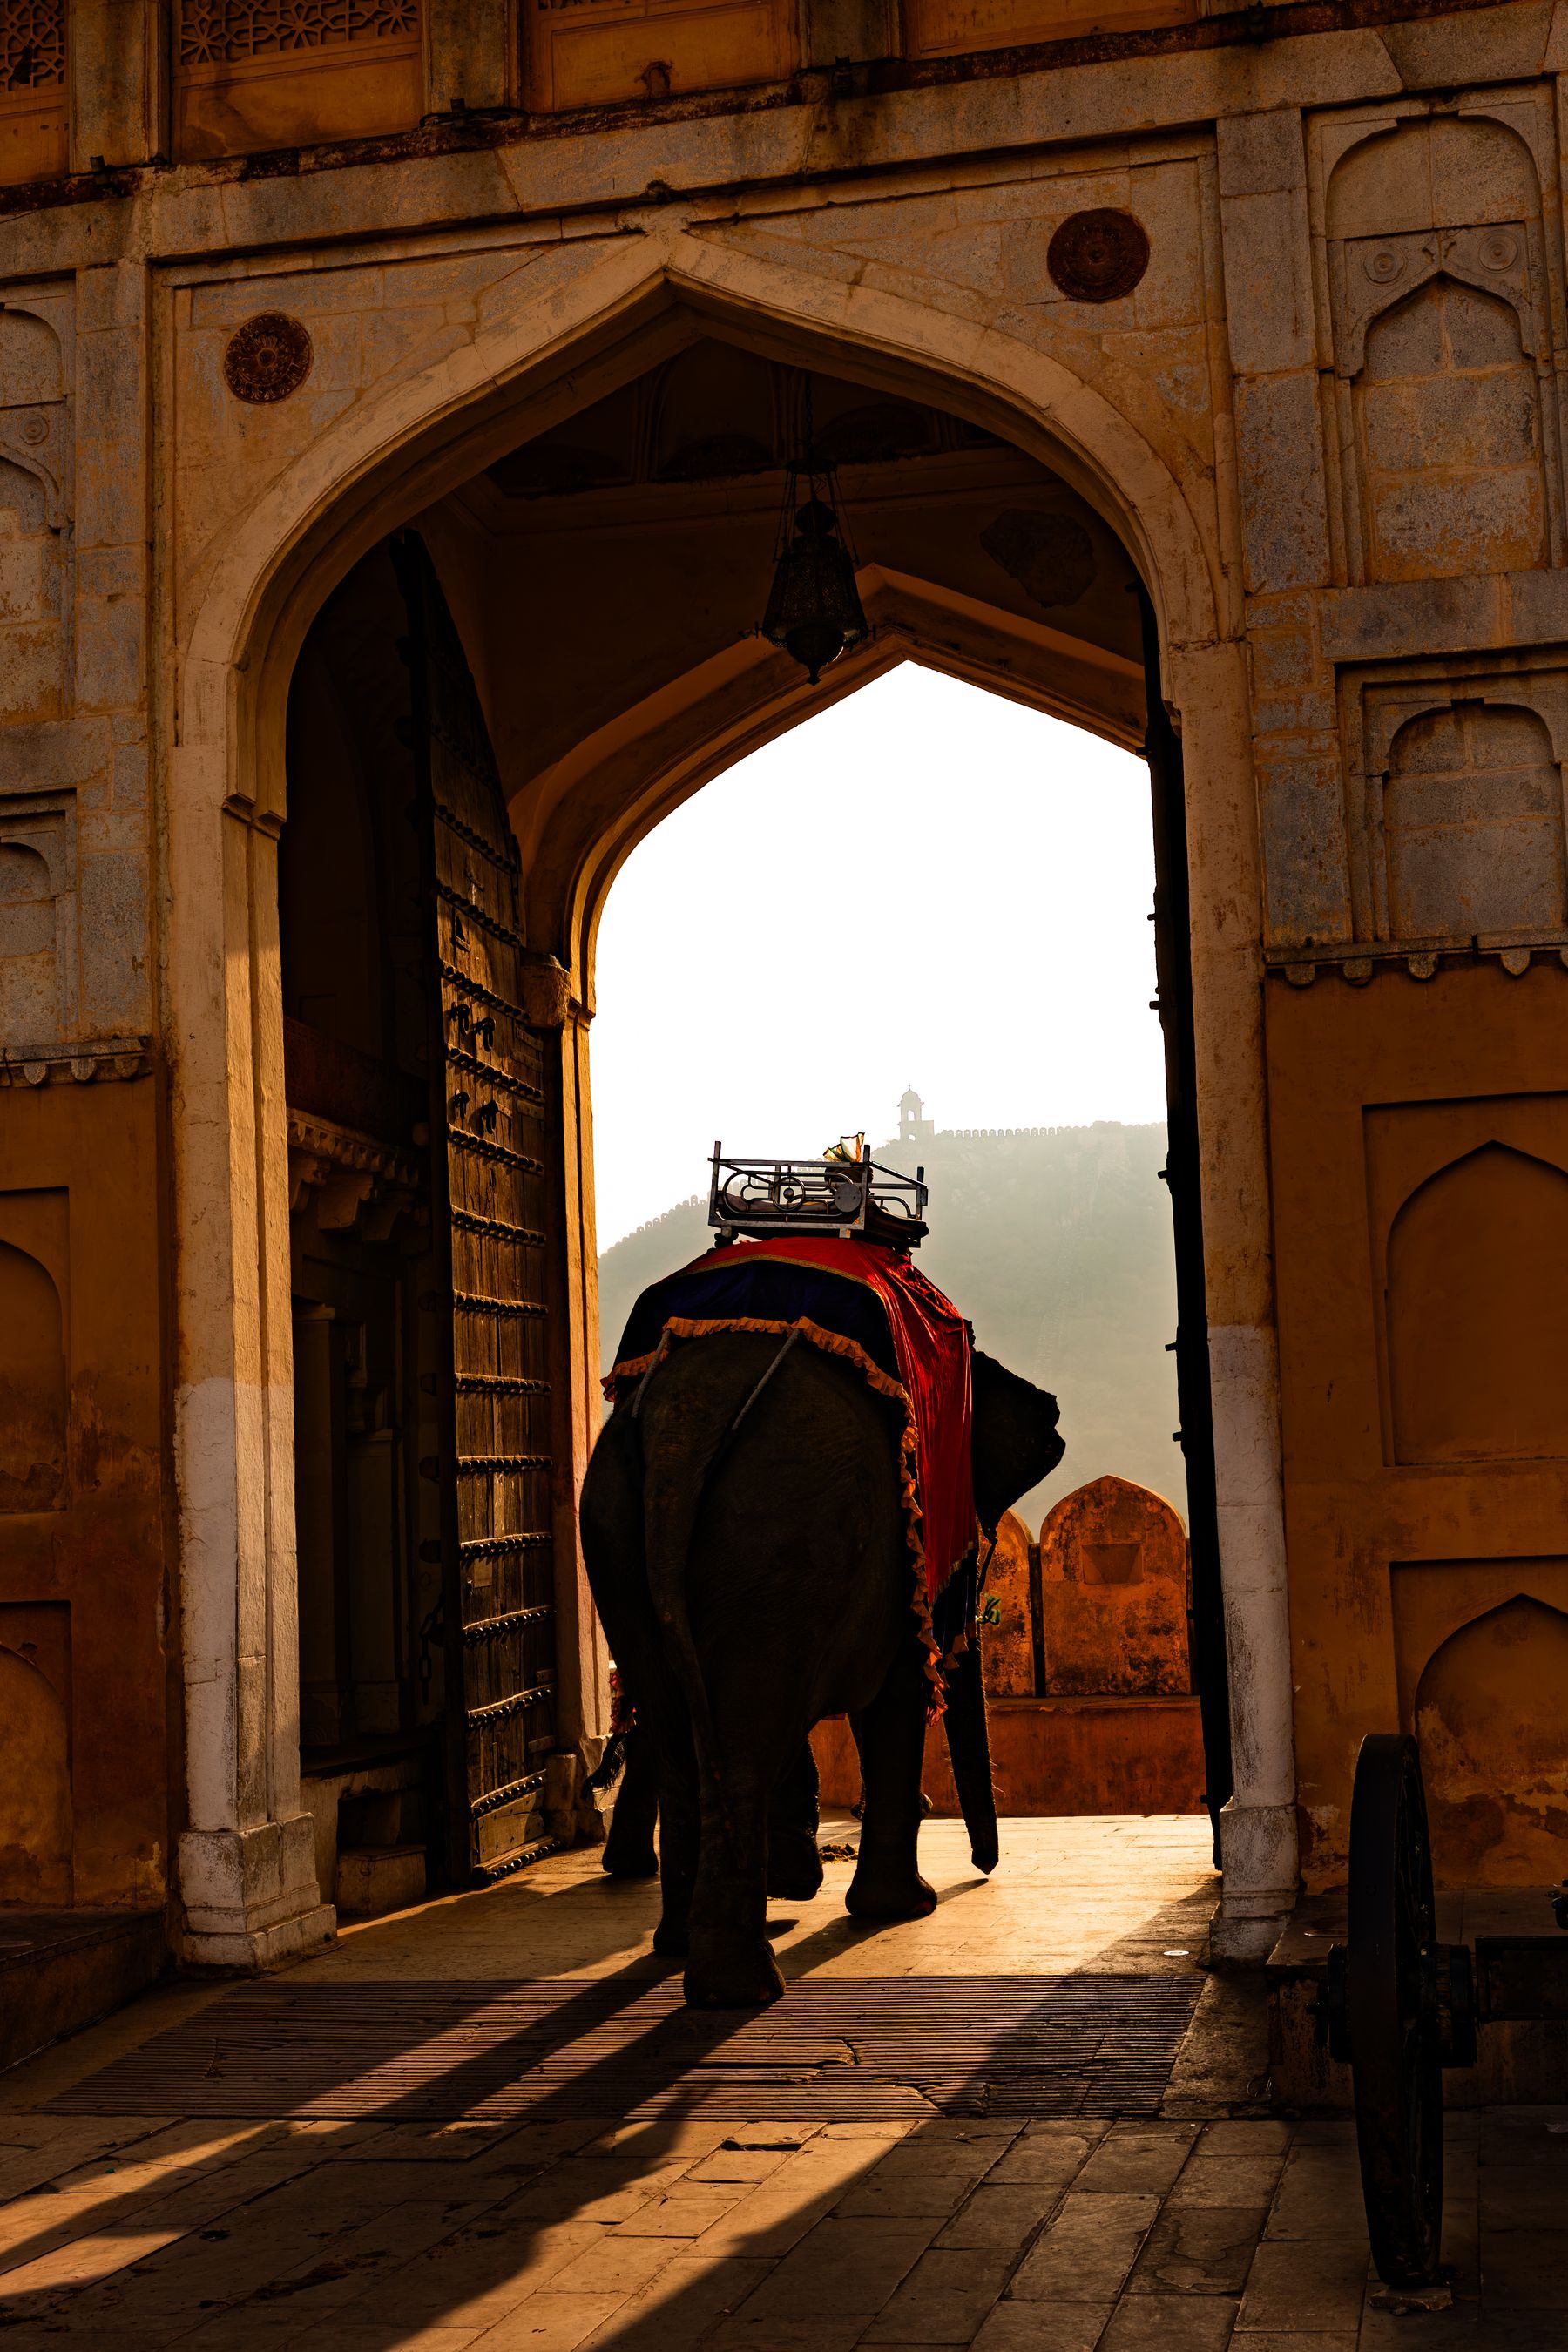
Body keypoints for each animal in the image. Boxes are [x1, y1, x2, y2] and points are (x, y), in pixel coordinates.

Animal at [579, 1329, 1062, 2008]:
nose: (983, 1873)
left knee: (681, 1736)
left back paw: (682, 1947)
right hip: (778, 1534)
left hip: (618, 1541)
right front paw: (906, 1909)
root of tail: (681, 1434)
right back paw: (744, 1988)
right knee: (744, 1740)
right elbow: (894, 1697)